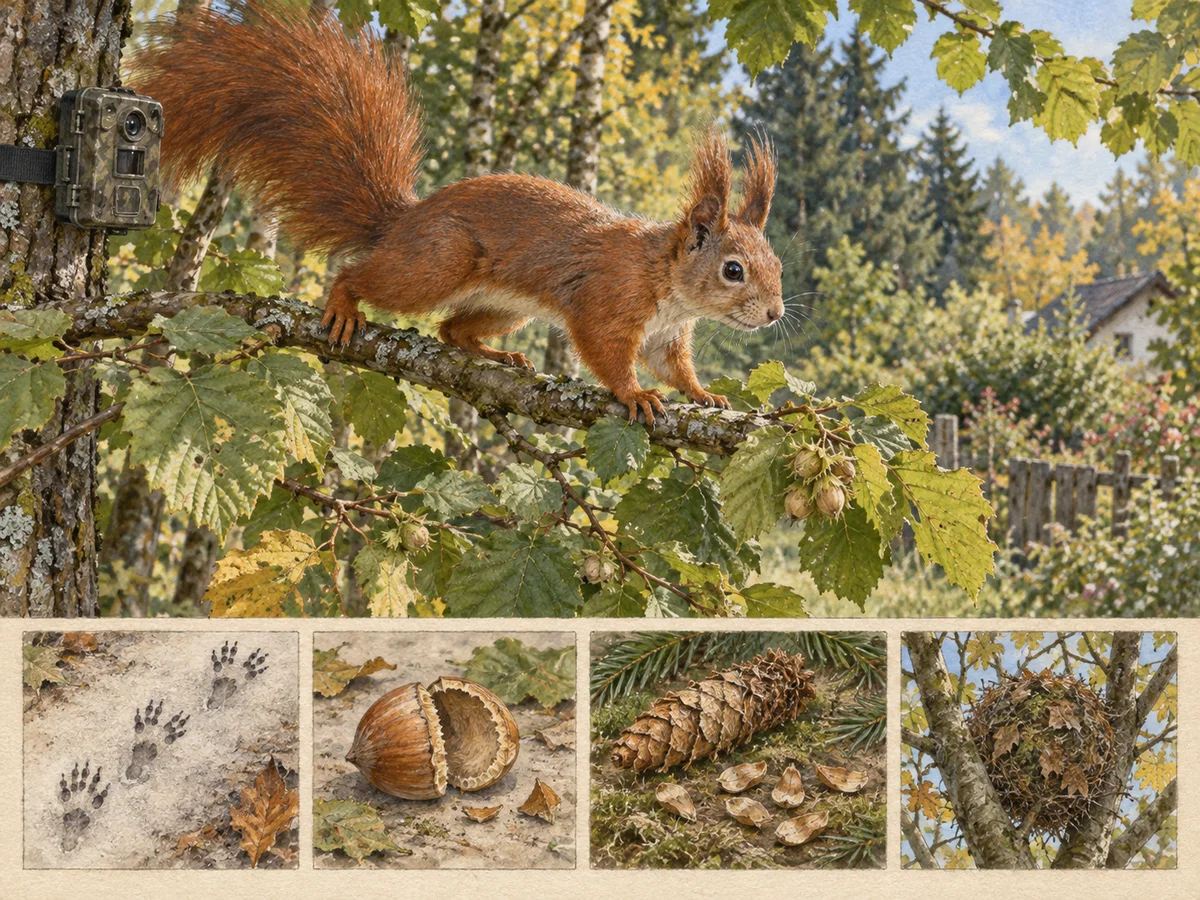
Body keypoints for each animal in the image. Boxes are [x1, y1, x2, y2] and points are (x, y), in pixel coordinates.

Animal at [129, 2, 785, 423]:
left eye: (776, 264)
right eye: (733, 270)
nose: (776, 313)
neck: (667, 281)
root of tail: (403, 220)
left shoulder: (667, 336)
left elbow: (674, 369)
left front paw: (705, 396)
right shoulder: (608, 300)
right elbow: (605, 353)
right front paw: (636, 395)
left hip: (505, 306)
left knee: (452, 330)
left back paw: (497, 355)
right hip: (437, 261)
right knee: (366, 278)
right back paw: (344, 304)